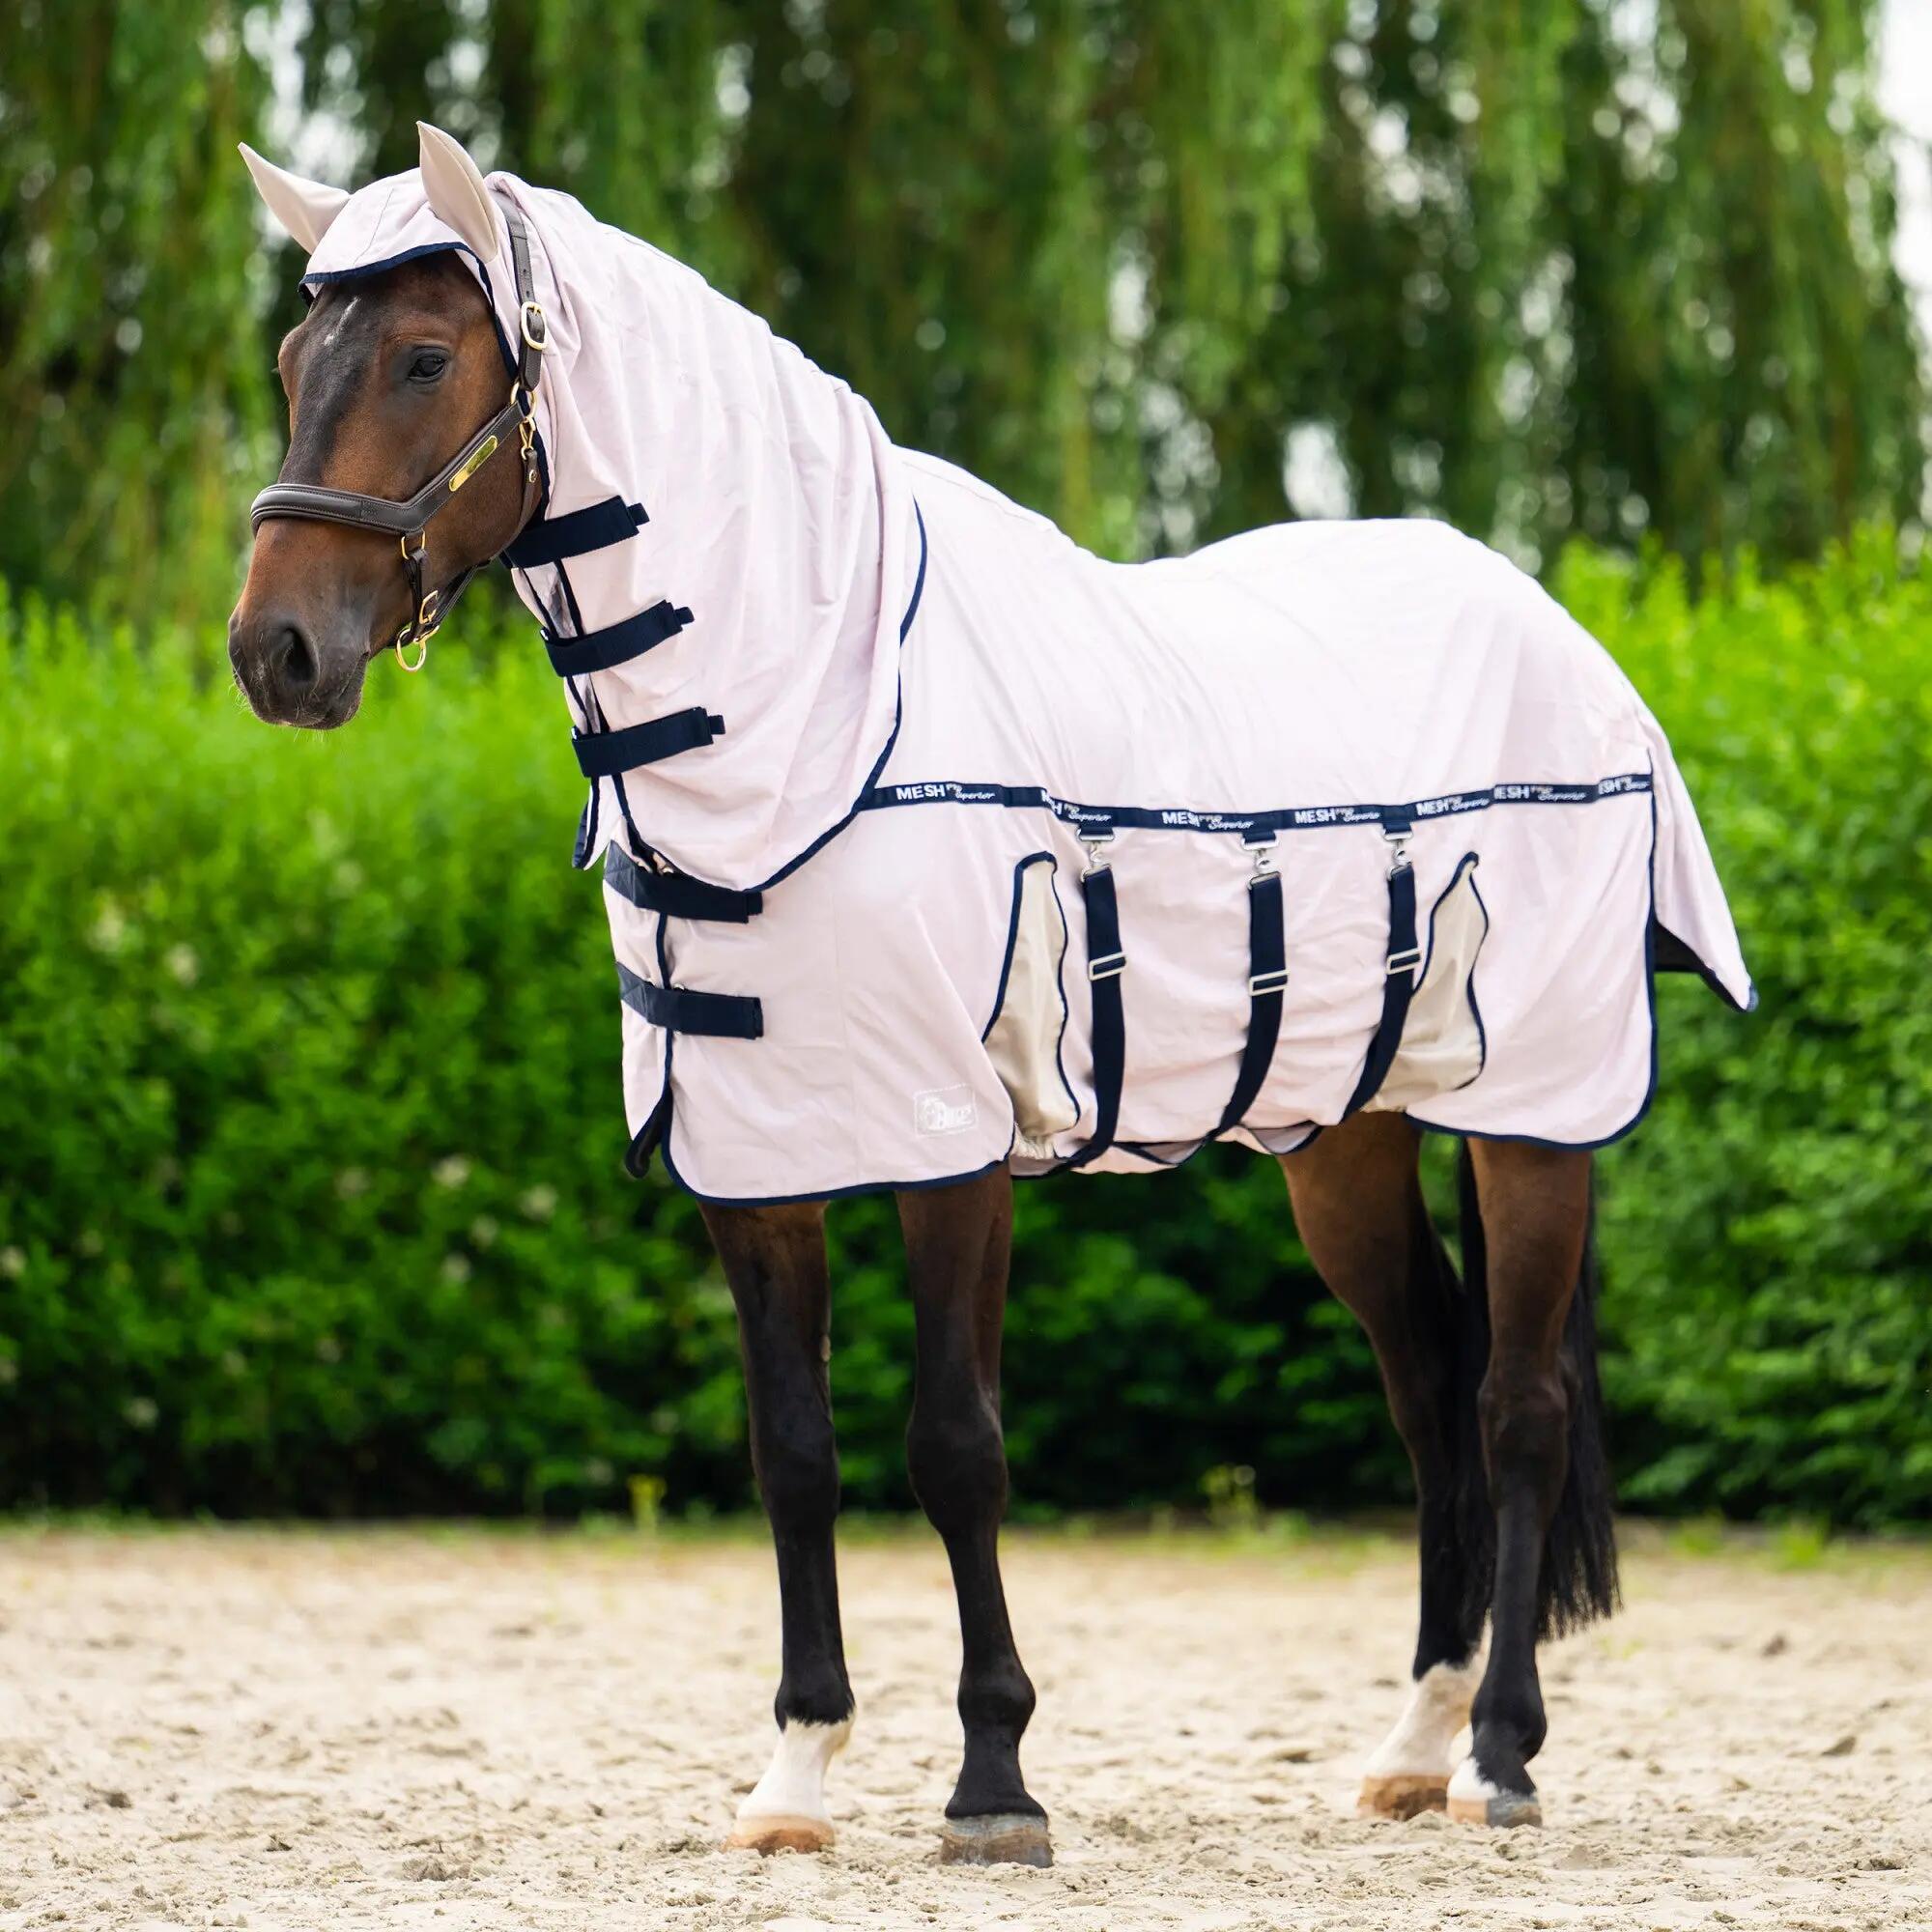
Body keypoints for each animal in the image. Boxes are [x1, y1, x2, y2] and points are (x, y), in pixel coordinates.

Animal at [227, 124, 1750, 1865]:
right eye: (293, 363)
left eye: (425, 356)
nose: (275, 652)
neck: (820, 718)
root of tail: (1561, 637)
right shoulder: (758, 1158)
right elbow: (796, 1450)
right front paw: (794, 1778)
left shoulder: (951, 1147)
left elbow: (955, 1446)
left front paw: (994, 1783)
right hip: (1346, 1139)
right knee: (1428, 1387)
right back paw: (1415, 1747)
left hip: (1533, 1120)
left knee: (1514, 1407)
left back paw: (1499, 1755)